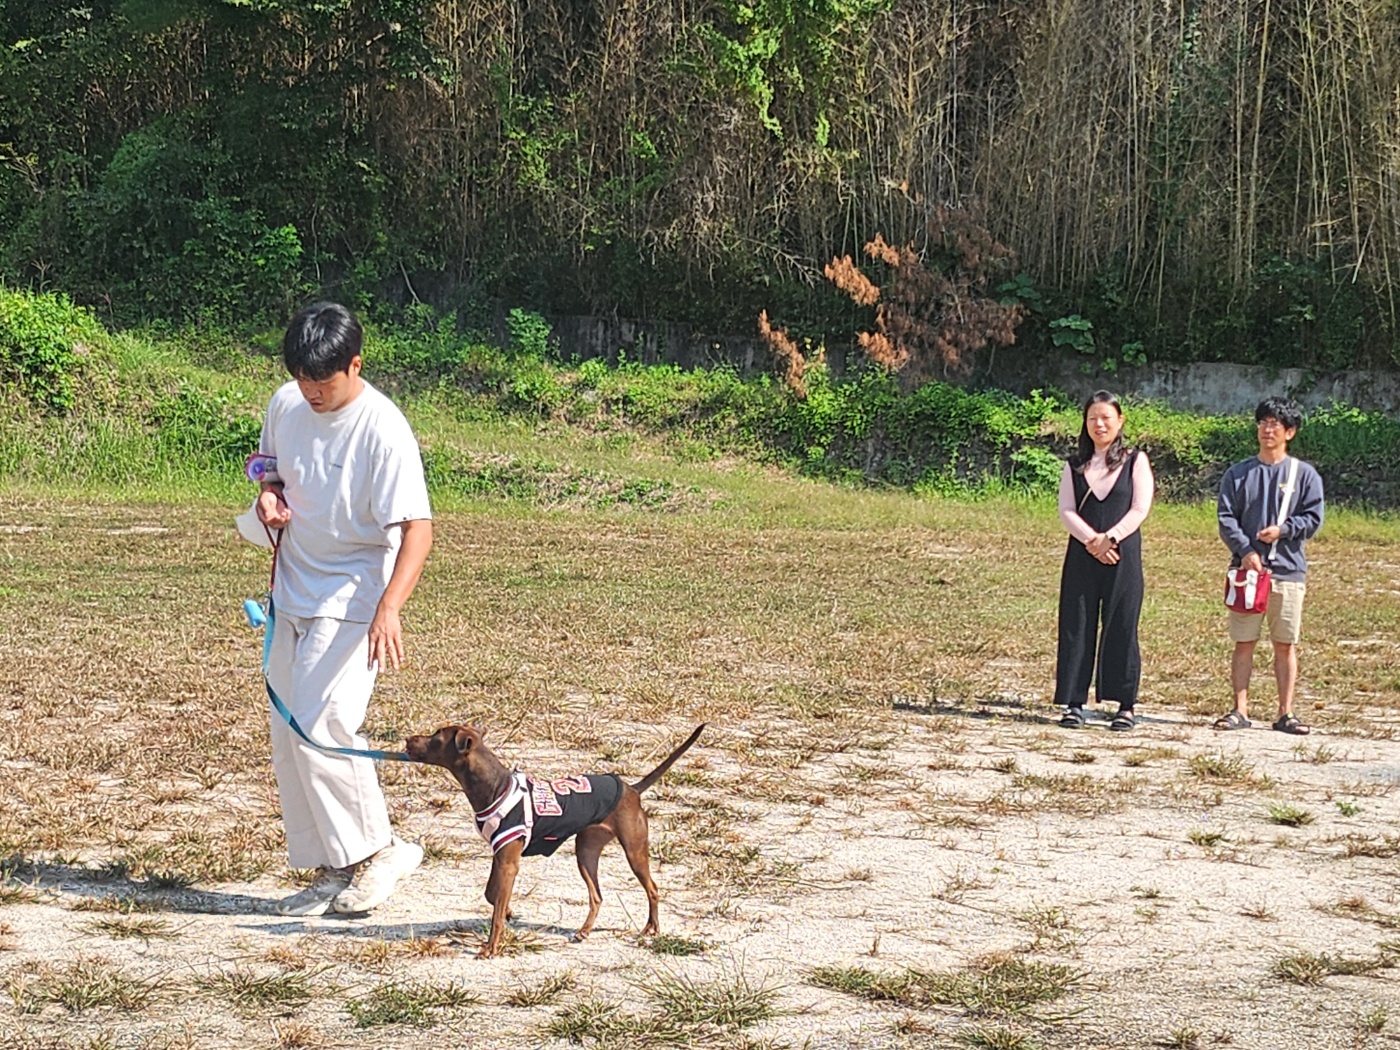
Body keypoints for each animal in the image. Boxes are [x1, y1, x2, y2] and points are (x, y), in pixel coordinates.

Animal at [408, 722, 711, 963]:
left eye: (436, 736)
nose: (409, 739)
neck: (494, 786)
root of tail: (632, 789)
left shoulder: (508, 862)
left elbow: (495, 912)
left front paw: (491, 947)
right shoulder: (500, 855)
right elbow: (492, 895)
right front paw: (508, 911)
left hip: (634, 850)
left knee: (652, 888)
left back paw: (651, 927)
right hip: (586, 852)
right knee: (597, 896)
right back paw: (584, 931)